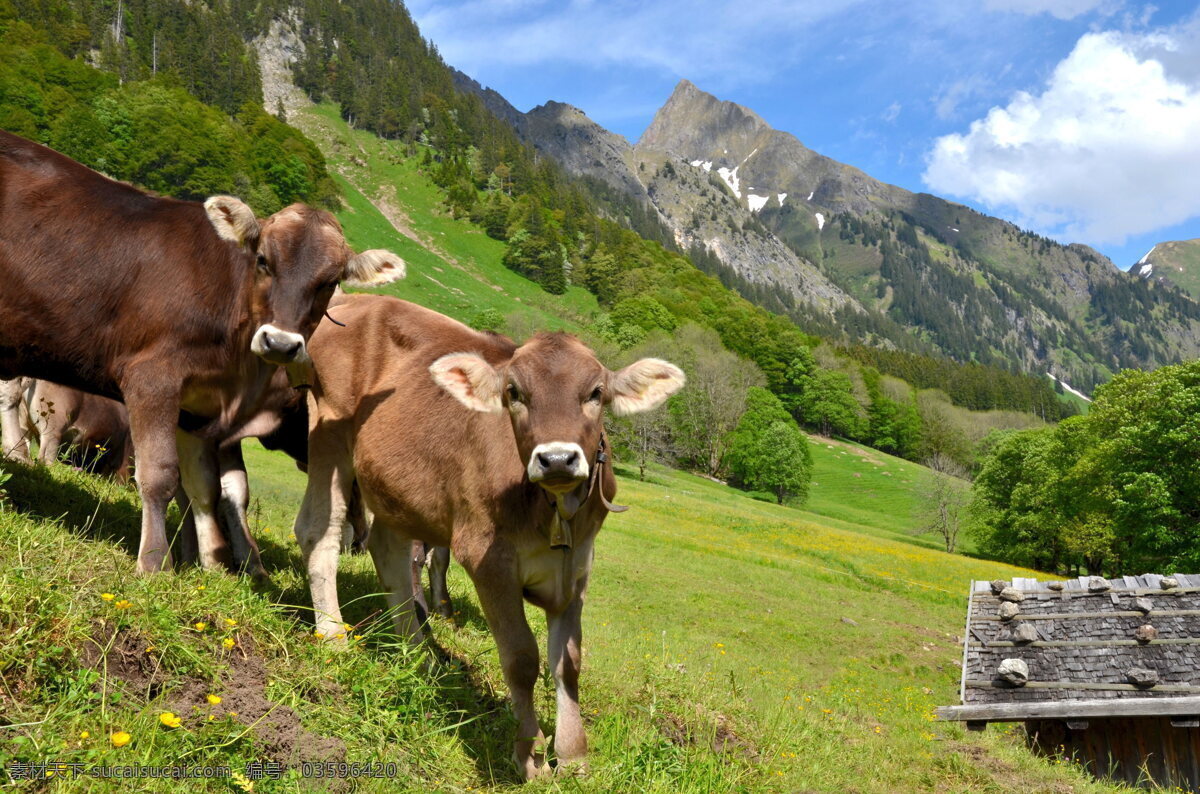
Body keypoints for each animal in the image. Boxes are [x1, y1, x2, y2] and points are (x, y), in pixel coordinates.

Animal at [0, 133, 403, 575]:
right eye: (262, 259)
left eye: (330, 282)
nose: (280, 343)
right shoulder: (153, 377)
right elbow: (161, 475)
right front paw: (156, 562)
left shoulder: (197, 410)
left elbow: (208, 487)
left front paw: (213, 560)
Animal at [291, 295, 686, 782]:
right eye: (514, 392)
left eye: (596, 393)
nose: (557, 458)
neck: (552, 510)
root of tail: (357, 299)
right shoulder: (488, 559)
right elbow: (521, 658)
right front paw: (531, 755)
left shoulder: (577, 567)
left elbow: (569, 663)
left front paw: (574, 754)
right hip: (328, 429)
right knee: (317, 529)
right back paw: (333, 636)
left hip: (396, 485)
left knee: (390, 552)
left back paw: (421, 657)